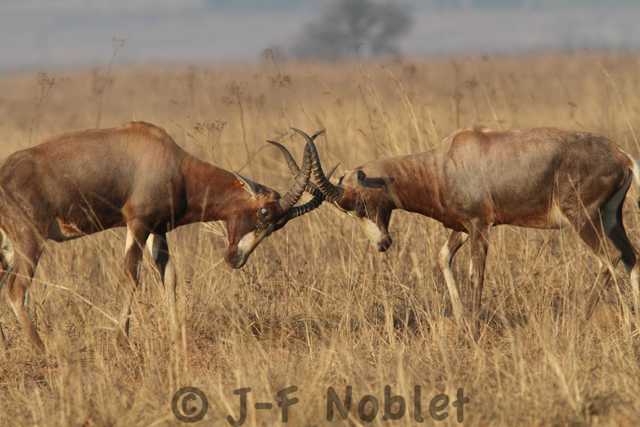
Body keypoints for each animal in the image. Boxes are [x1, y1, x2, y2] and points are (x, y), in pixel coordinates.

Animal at [0, 121, 323, 351]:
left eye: (278, 226)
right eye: (264, 213)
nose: (235, 259)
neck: (172, 161)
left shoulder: (158, 229)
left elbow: (169, 276)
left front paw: (175, 338)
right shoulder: (138, 223)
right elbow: (131, 275)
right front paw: (122, 340)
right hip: (29, 241)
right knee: (16, 288)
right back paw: (41, 349)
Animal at [283, 127, 640, 338]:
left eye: (359, 202)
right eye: (347, 210)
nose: (383, 244)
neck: (443, 162)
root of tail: (622, 156)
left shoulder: (481, 227)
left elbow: (476, 274)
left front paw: (474, 329)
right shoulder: (462, 228)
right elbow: (443, 259)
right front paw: (460, 321)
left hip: (582, 217)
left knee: (609, 258)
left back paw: (579, 321)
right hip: (611, 218)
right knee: (631, 257)